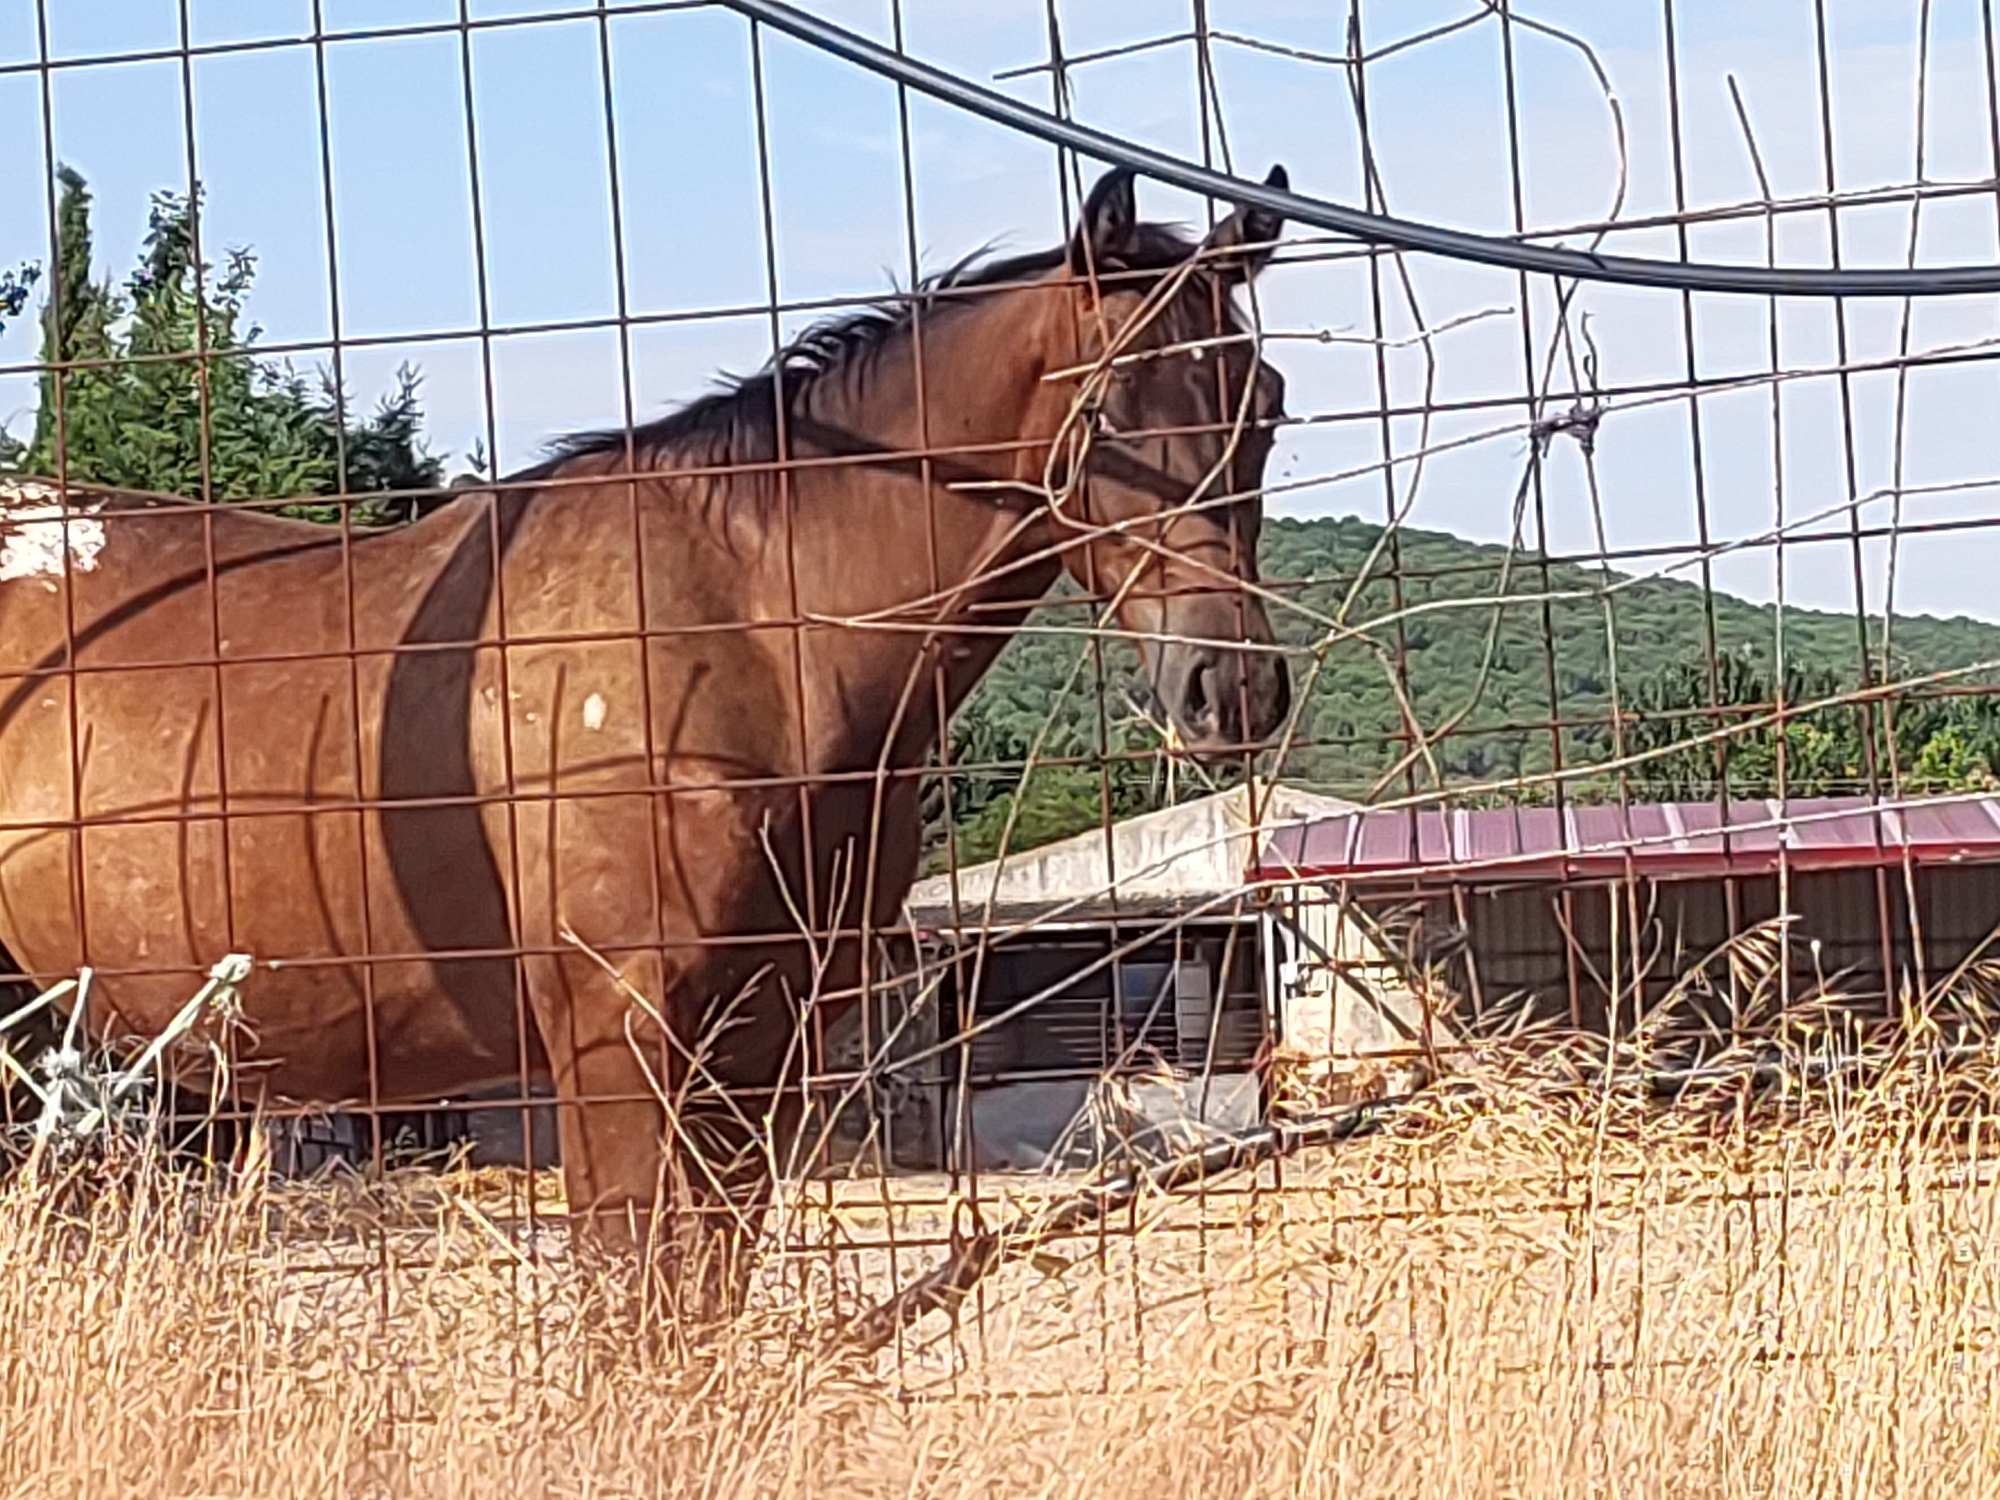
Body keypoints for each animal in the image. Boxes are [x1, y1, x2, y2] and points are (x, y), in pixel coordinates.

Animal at [0, 165, 1293, 1308]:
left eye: (1265, 400)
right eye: (1107, 402)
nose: (1230, 692)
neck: (742, 631)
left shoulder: (758, 1045)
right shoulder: (617, 1035)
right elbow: (630, 1306)